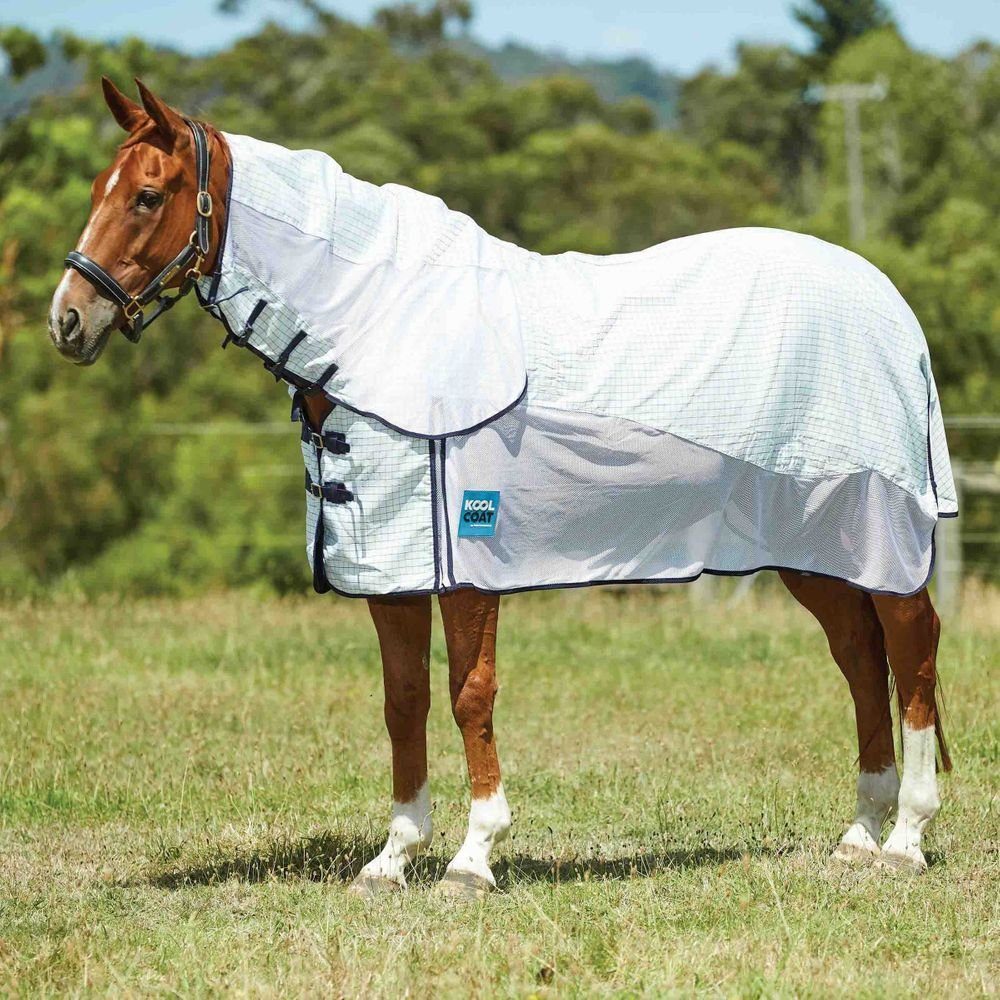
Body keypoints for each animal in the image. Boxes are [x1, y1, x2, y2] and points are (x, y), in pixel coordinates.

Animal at [48, 78, 953, 897]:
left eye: (147, 196)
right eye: (98, 192)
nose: (68, 319)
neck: (378, 327)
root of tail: (892, 309)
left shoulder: (467, 562)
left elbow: (467, 696)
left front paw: (473, 857)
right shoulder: (394, 568)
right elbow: (404, 700)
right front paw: (393, 858)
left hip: (877, 533)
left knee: (910, 652)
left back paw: (905, 838)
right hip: (815, 548)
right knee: (859, 658)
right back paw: (858, 837)